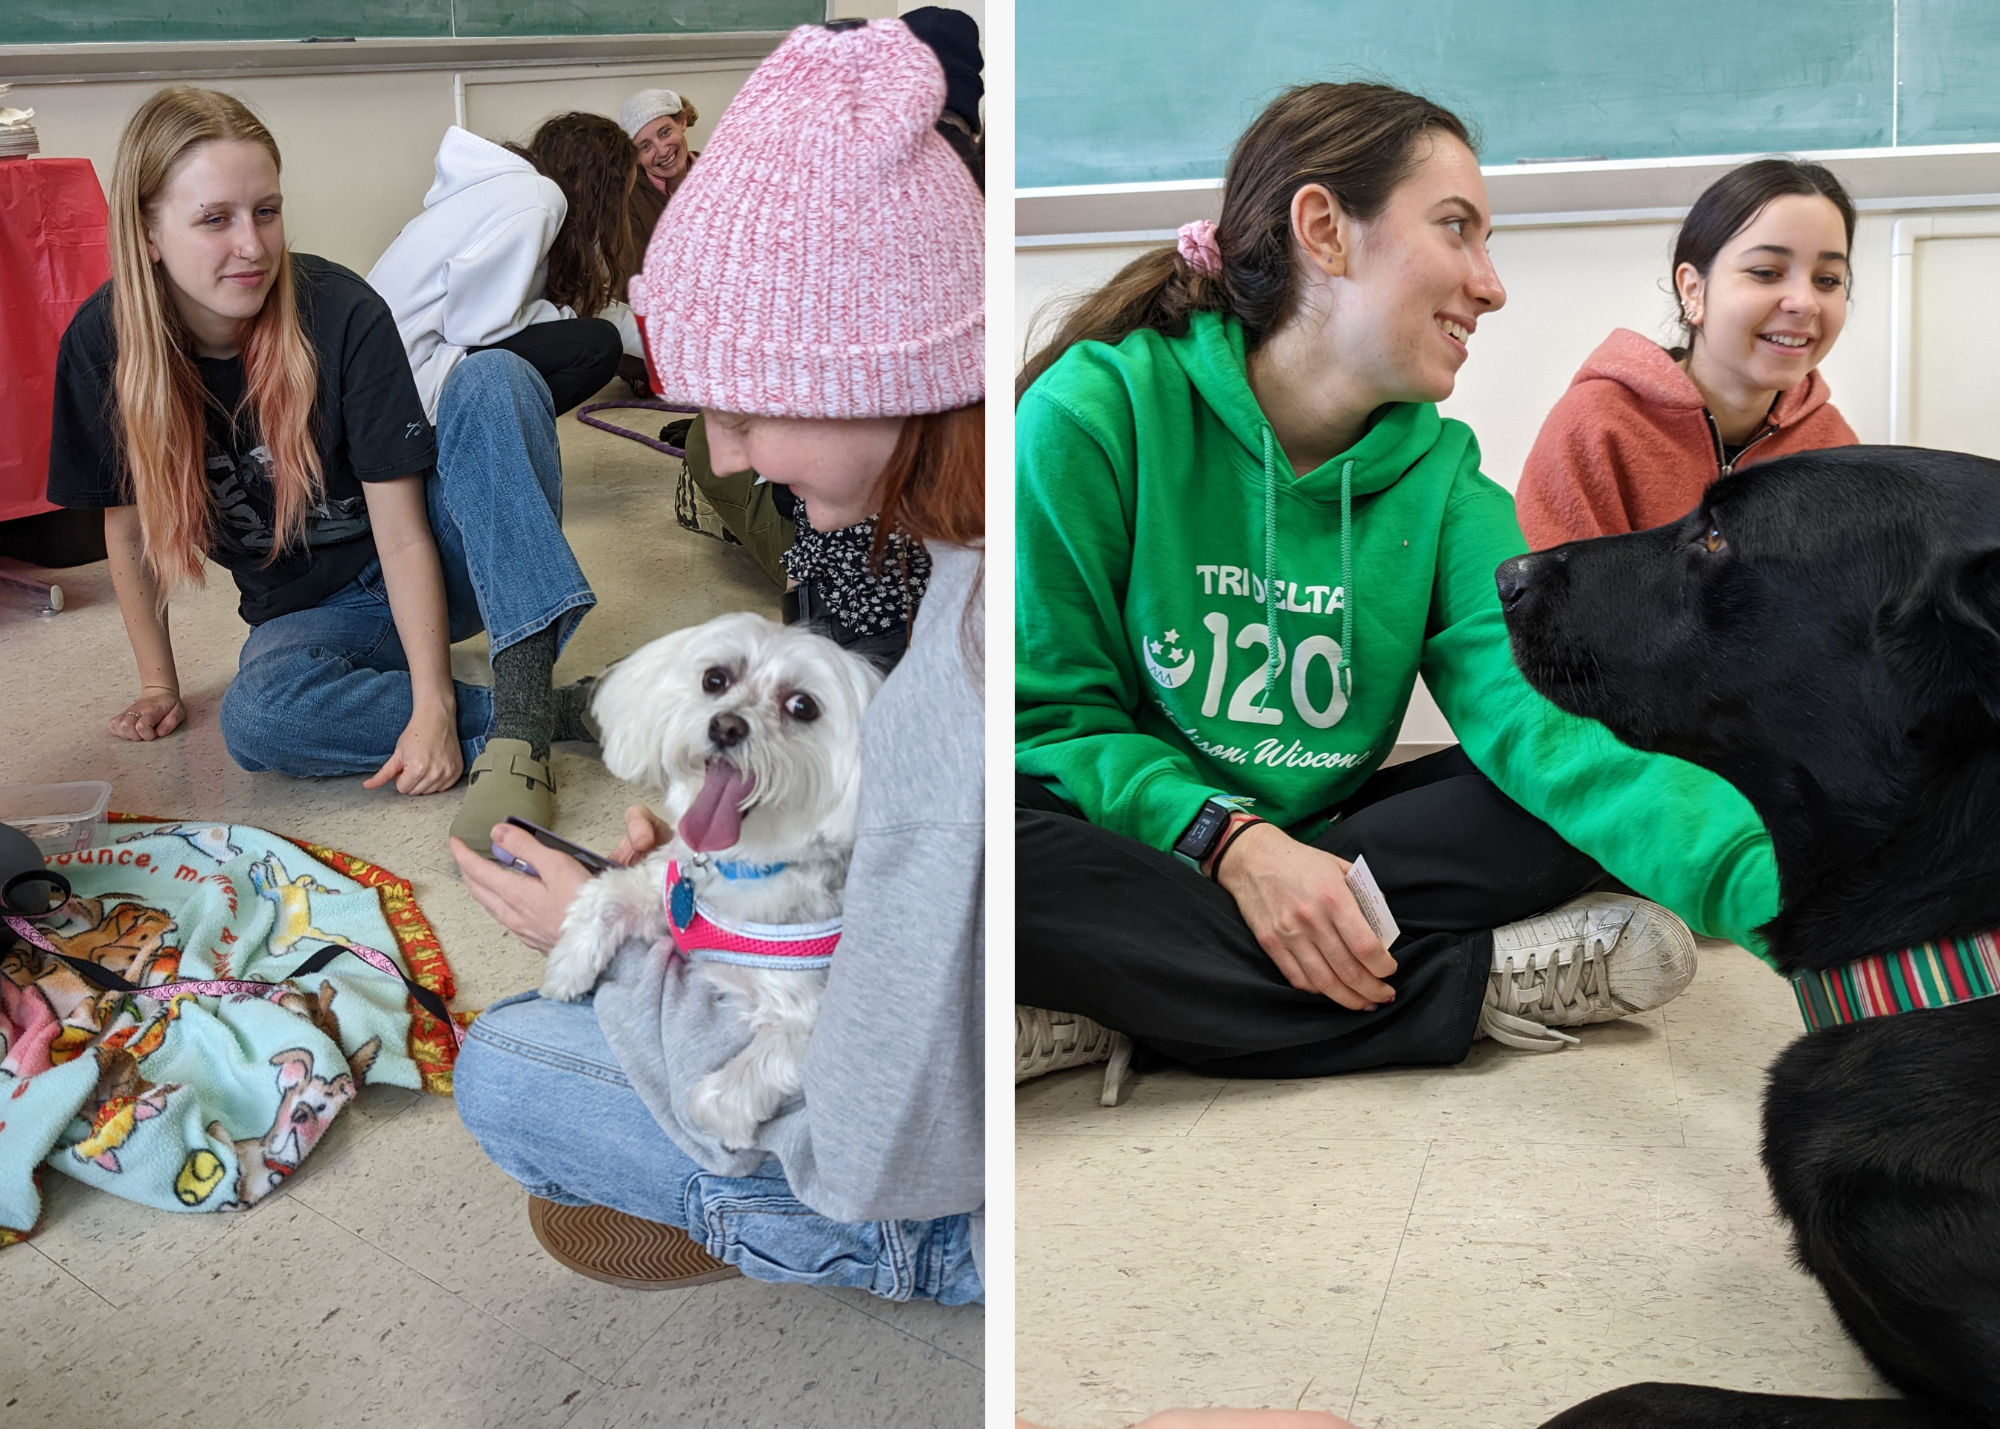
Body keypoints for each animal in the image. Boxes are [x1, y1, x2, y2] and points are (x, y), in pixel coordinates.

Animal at [548, 612, 892, 1144]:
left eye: (803, 706)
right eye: (715, 679)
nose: (727, 726)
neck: (745, 859)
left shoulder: (805, 1015)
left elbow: (739, 1084)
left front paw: (718, 1120)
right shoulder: (666, 889)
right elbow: (604, 894)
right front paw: (567, 970)